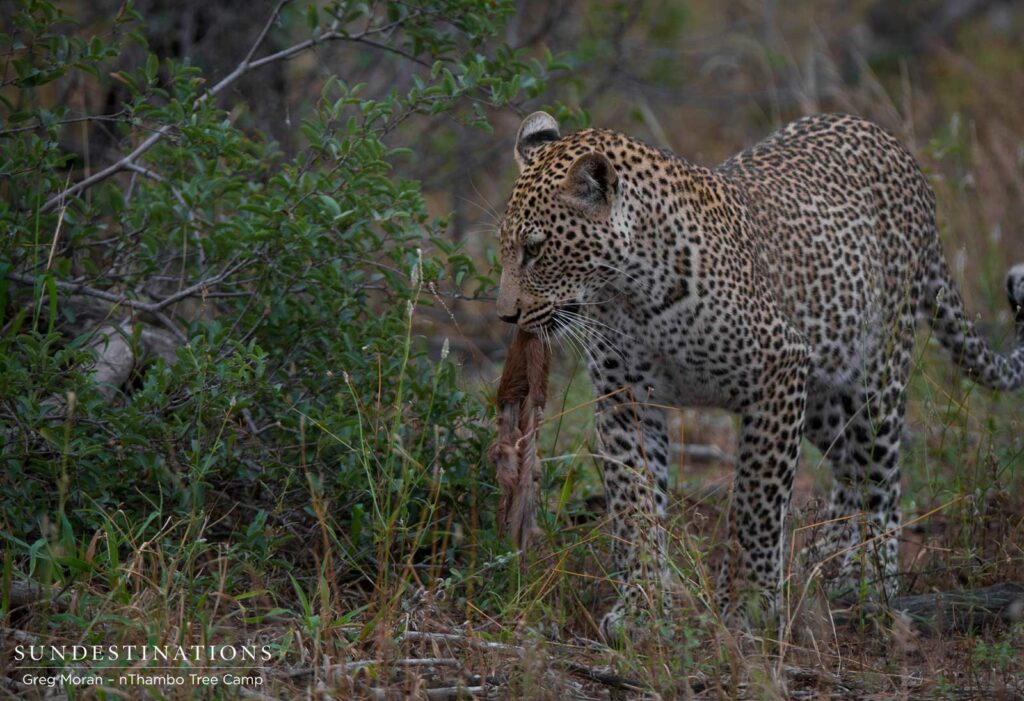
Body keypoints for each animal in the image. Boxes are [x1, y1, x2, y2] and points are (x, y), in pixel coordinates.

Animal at [493, 110, 1024, 641]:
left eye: (535, 249)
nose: (506, 316)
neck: (628, 292)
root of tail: (894, 145)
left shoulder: (778, 368)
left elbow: (757, 501)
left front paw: (750, 604)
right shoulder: (627, 400)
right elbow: (634, 504)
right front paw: (643, 608)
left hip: (877, 371)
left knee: (882, 478)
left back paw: (868, 581)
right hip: (822, 390)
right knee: (848, 466)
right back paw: (828, 559)